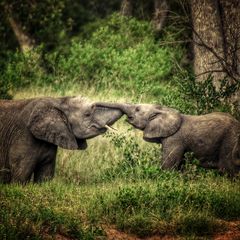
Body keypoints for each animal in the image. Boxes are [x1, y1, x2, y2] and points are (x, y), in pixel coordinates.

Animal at [95, 102, 240, 175]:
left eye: (137, 109)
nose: (94, 106)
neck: (163, 110)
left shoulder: (174, 139)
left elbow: (168, 166)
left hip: (230, 140)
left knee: (229, 169)